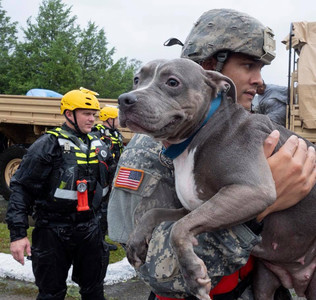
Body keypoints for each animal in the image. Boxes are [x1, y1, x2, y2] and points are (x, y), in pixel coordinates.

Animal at [117, 58, 314, 300]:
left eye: (172, 82)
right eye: (137, 79)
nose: (124, 100)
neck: (201, 132)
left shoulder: (252, 190)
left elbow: (177, 229)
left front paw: (193, 274)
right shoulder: (193, 207)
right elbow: (153, 213)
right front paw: (136, 242)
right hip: (264, 282)